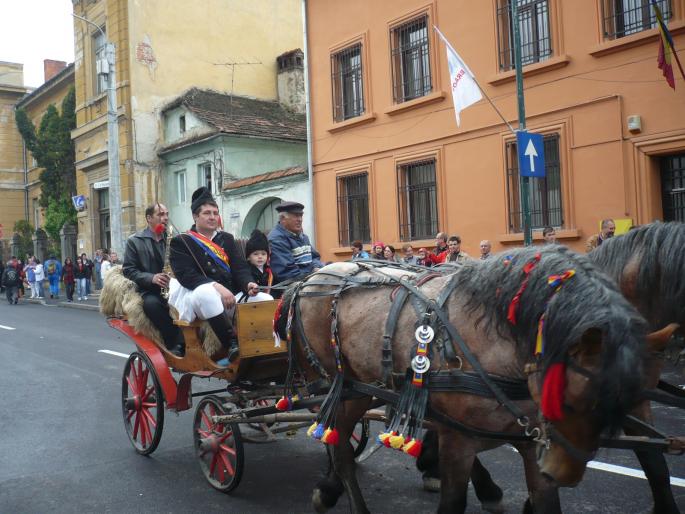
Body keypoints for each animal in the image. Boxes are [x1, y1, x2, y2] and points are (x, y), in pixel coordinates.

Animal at [280, 245, 648, 512]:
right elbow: (453, 502)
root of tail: (307, 281)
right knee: (340, 449)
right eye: (572, 399)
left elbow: (545, 501)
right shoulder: (458, 441)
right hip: (343, 389)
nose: (562, 473)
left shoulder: (531, 441)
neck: (493, 338)